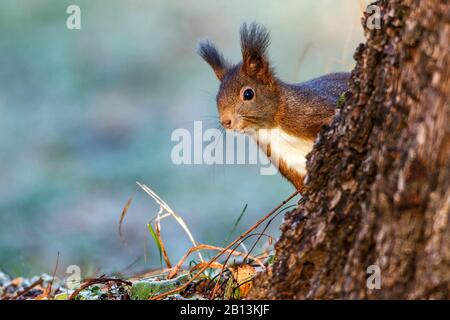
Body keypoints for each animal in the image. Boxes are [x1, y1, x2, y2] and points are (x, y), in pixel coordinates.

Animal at [199, 23, 350, 192]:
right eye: (217, 97)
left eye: (248, 94)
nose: (225, 122)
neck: (273, 128)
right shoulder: (286, 160)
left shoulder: (314, 108)